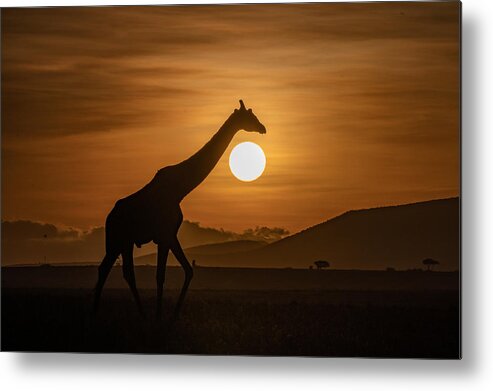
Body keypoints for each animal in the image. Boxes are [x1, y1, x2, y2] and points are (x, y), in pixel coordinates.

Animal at [94, 99, 268, 320]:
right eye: (250, 116)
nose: (263, 128)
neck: (180, 189)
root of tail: (109, 217)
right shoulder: (165, 234)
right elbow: (161, 275)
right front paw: (160, 317)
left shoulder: (169, 235)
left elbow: (187, 270)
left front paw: (172, 315)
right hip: (117, 239)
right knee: (110, 269)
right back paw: (99, 313)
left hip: (125, 242)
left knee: (121, 271)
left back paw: (127, 313)